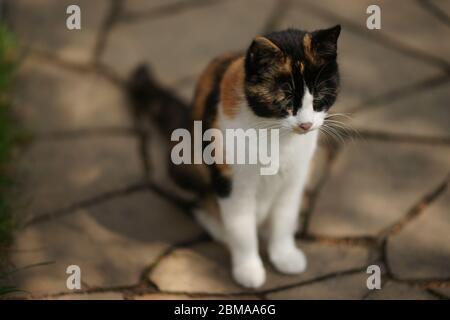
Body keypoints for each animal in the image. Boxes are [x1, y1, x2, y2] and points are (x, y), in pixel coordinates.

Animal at [129, 26, 342, 288]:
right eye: (286, 100)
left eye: (320, 97)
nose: (306, 125)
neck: (276, 135)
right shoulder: (232, 181)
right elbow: (241, 228)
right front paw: (248, 269)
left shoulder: (295, 178)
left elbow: (285, 216)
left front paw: (285, 256)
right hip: (185, 164)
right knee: (196, 203)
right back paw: (219, 228)